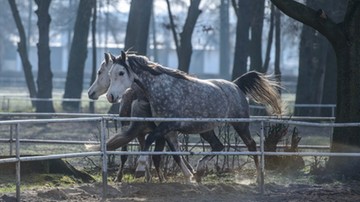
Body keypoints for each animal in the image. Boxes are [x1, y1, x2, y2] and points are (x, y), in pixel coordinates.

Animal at [105, 50, 282, 181]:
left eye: (121, 72)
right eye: (110, 73)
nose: (110, 96)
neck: (162, 89)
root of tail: (235, 85)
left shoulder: (167, 126)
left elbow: (150, 141)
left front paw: (141, 167)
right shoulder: (167, 131)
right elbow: (174, 154)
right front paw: (188, 175)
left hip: (240, 124)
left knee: (251, 145)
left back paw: (258, 177)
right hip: (205, 129)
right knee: (218, 146)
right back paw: (199, 171)